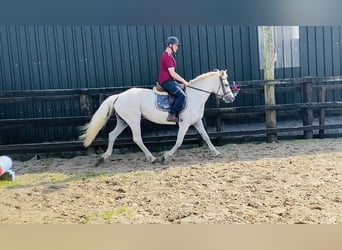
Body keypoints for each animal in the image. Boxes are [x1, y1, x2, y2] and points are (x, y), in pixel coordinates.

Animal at [79, 69, 235, 163]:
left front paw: (216, 153)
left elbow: (206, 137)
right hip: (133, 120)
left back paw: (105, 156)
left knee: (112, 135)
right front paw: (165, 156)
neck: (194, 96)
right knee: (137, 138)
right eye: (226, 84)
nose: (231, 98)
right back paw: (152, 158)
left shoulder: (197, 122)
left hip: (123, 121)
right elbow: (179, 141)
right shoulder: (184, 124)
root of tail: (119, 96)